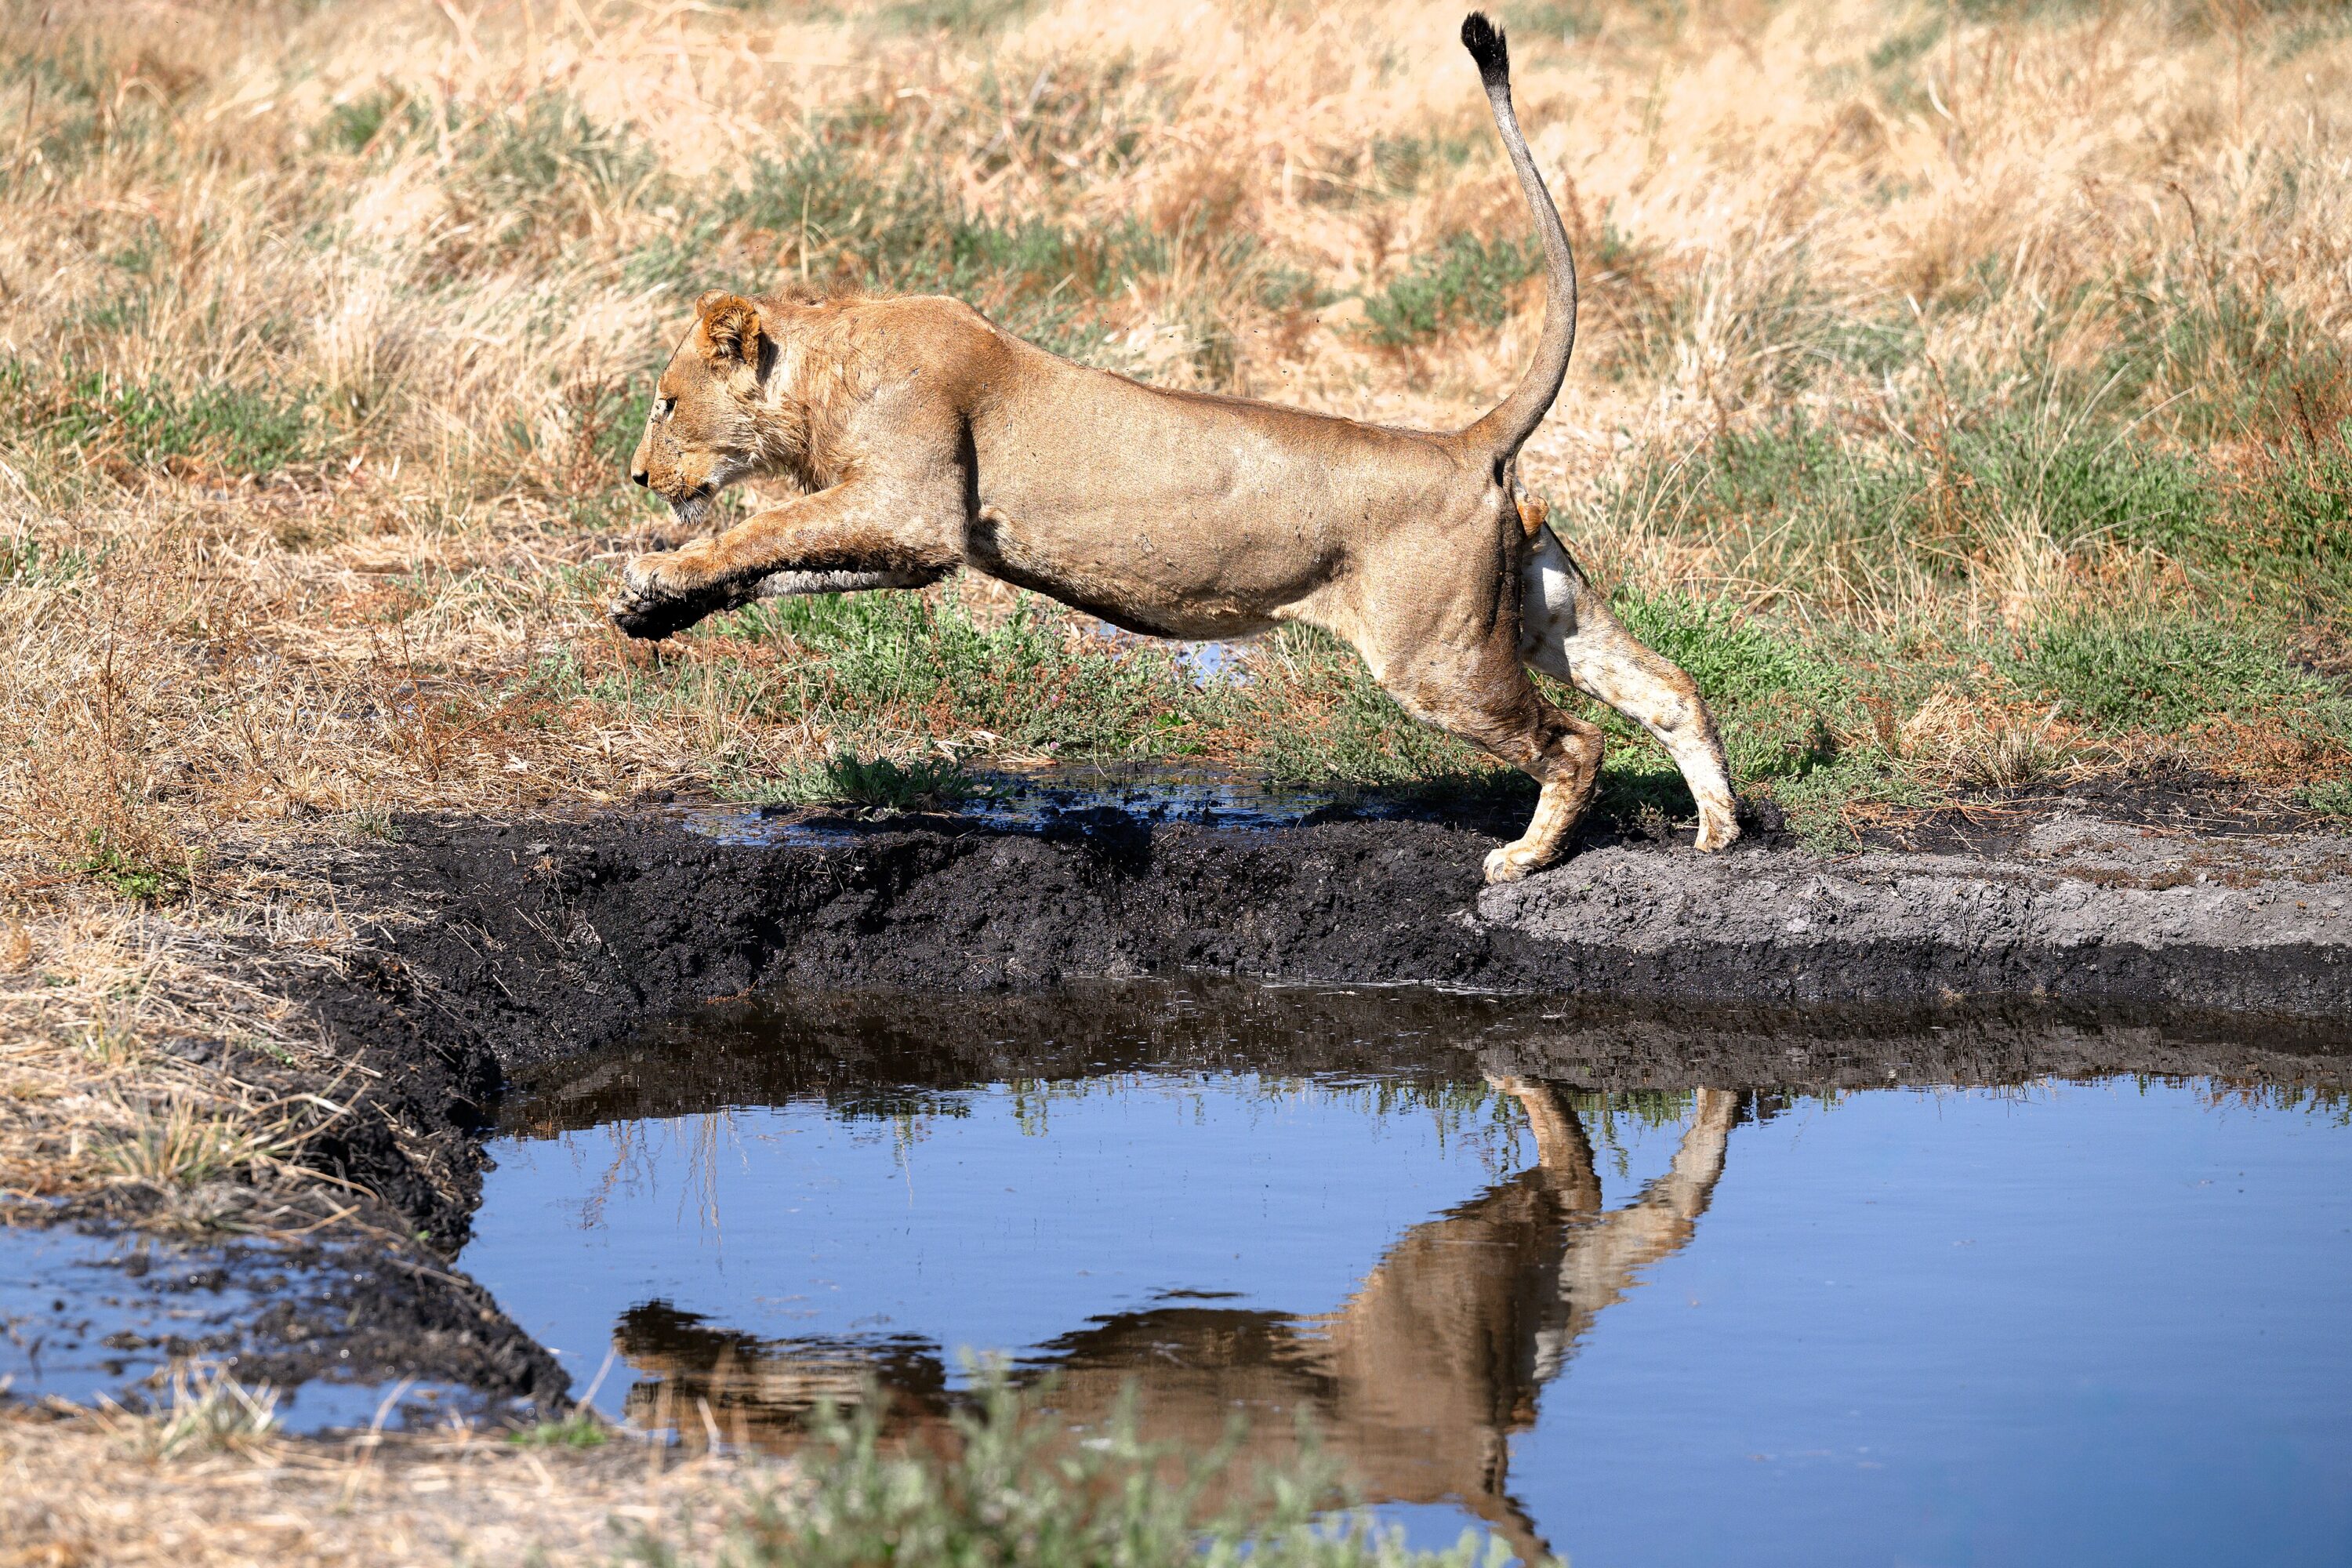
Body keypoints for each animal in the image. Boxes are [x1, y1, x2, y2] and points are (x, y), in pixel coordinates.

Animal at [611, 12, 1738, 882]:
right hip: (1539, 605)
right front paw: (654, 605)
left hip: (1439, 657)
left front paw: (659, 570)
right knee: (1668, 687)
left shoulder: (911, 504)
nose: (635, 474)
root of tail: (1471, 443)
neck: (826, 366)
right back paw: (1719, 831)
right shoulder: (912, 545)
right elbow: (783, 566)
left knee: (1576, 739)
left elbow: (764, 533)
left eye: (664, 403)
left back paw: (1526, 858)